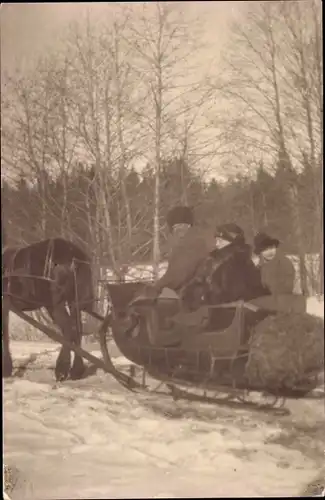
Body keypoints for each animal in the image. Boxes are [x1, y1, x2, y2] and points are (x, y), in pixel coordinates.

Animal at [1, 236, 102, 380]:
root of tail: (74, 257)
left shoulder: (4, 304)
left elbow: (5, 334)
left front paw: (6, 368)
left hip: (55, 304)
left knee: (68, 328)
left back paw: (61, 369)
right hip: (74, 301)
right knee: (77, 328)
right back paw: (76, 370)